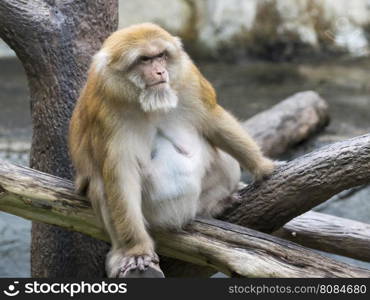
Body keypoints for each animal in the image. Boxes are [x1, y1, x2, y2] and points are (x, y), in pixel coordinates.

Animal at [69, 22, 276, 278]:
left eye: (161, 56)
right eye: (144, 60)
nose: (160, 72)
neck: (146, 101)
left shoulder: (189, 78)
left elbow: (213, 120)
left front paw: (263, 167)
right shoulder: (104, 108)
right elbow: (120, 175)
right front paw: (137, 249)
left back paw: (216, 205)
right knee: (100, 185)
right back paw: (120, 252)